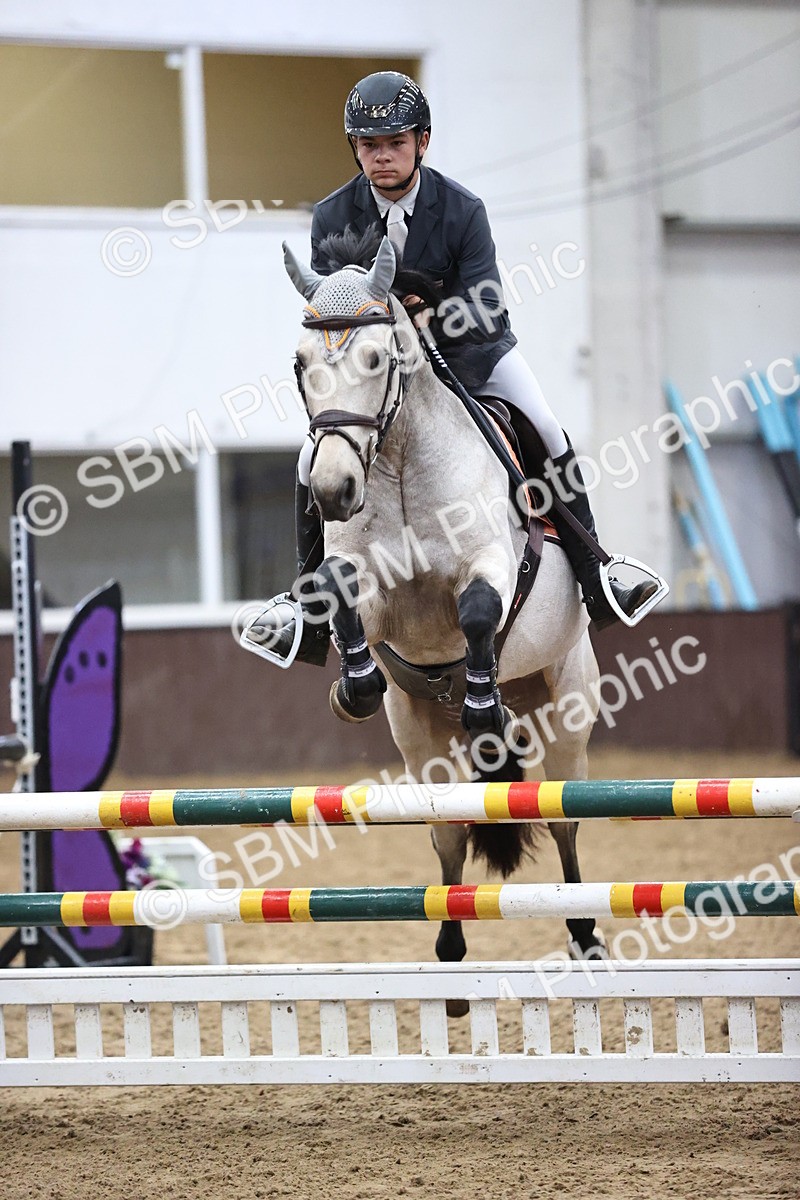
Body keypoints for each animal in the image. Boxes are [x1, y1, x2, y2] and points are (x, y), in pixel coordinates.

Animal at [281, 232, 606, 994]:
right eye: (300, 364)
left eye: (377, 359)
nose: (333, 489)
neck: (397, 461)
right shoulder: (373, 596)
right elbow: (339, 595)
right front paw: (355, 687)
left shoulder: (489, 563)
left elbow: (482, 607)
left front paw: (484, 706)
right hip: (421, 739)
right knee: (449, 830)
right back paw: (451, 958)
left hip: (566, 711)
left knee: (564, 819)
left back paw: (584, 936)